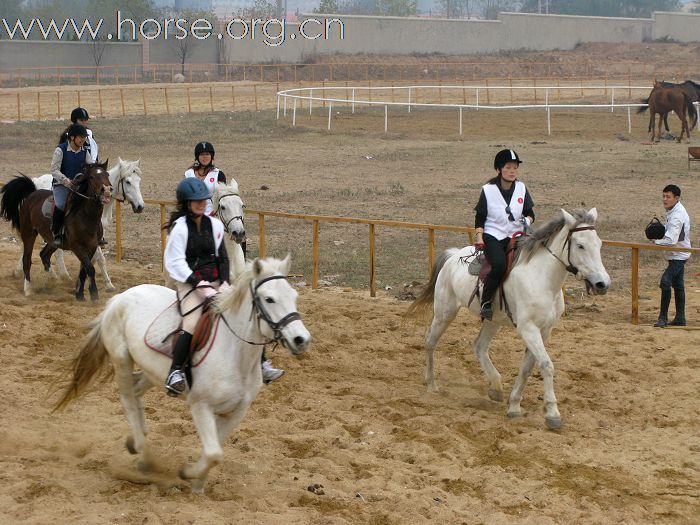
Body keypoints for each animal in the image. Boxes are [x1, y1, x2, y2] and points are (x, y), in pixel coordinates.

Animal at [0, 162, 112, 300]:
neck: (87, 217)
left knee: (44, 255)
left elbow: (84, 269)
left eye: (107, 175)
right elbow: (90, 269)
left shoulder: (92, 246)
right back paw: (28, 289)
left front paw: (80, 294)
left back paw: (52, 279)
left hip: (52, 241)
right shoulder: (77, 247)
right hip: (29, 234)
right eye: (91, 177)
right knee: (27, 259)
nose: (106, 190)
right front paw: (94, 295)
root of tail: (32, 194)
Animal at [27, 158, 146, 292]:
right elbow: (100, 259)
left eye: (139, 180)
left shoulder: (96, 237)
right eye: (128, 182)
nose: (140, 206)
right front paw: (108, 284)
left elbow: (92, 260)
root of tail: (36, 181)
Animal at [56, 256, 314, 494]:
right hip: (122, 360)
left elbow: (214, 452)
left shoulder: (235, 412)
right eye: (269, 299)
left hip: (152, 372)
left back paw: (136, 441)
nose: (301, 339)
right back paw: (144, 455)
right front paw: (187, 474)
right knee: (127, 398)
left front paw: (197, 486)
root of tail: (120, 298)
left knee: (136, 389)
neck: (235, 353)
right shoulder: (201, 405)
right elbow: (213, 453)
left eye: (294, 296)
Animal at [408, 207, 608, 428]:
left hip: (492, 321)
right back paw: (431, 384)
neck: (541, 278)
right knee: (430, 341)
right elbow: (546, 365)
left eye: (599, 244)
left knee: (479, 346)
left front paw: (514, 406)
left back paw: (495, 387)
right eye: (580, 245)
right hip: (445, 312)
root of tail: (453, 256)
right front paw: (552, 413)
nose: (602, 283)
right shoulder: (528, 329)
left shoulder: (544, 330)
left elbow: (527, 369)